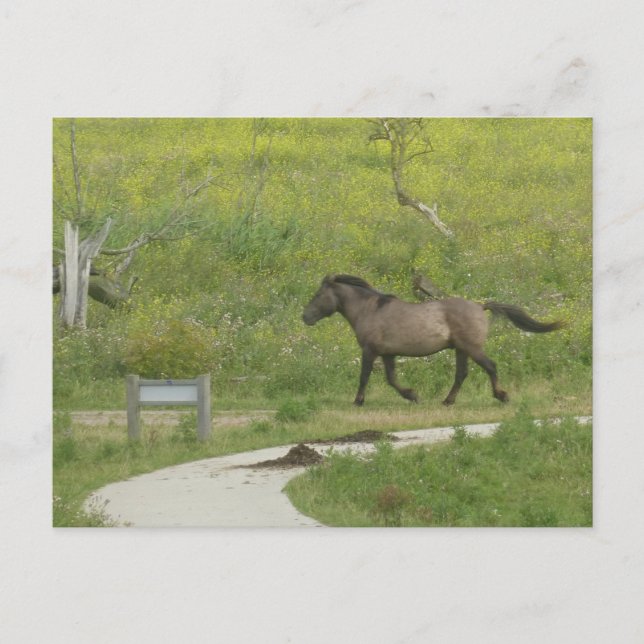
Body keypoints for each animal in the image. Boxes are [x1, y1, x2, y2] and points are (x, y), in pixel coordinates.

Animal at [302, 274, 564, 406]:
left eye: (318, 294)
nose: (305, 317)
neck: (370, 310)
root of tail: (480, 307)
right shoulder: (388, 354)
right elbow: (391, 379)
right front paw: (413, 396)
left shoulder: (369, 351)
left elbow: (365, 377)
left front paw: (358, 401)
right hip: (461, 349)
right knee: (461, 375)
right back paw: (447, 401)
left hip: (471, 348)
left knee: (490, 367)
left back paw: (501, 396)